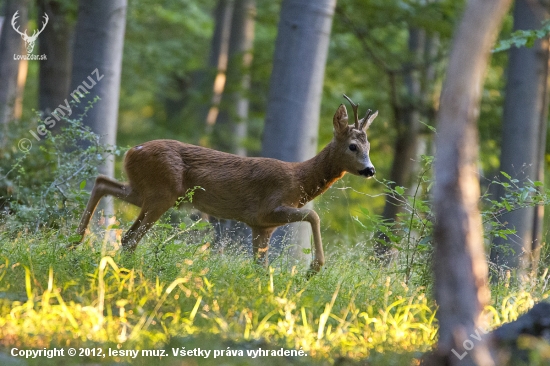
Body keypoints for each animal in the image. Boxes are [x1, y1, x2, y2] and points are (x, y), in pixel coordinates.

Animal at [74, 96, 380, 274]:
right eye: (353, 146)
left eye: (369, 147)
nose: (370, 170)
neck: (299, 180)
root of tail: (130, 151)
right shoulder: (269, 208)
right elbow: (314, 215)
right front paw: (315, 267)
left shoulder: (261, 226)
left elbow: (260, 267)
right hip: (163, 192)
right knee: (129, 236)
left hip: (145, 190)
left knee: (103, 183)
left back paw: (75, 241)